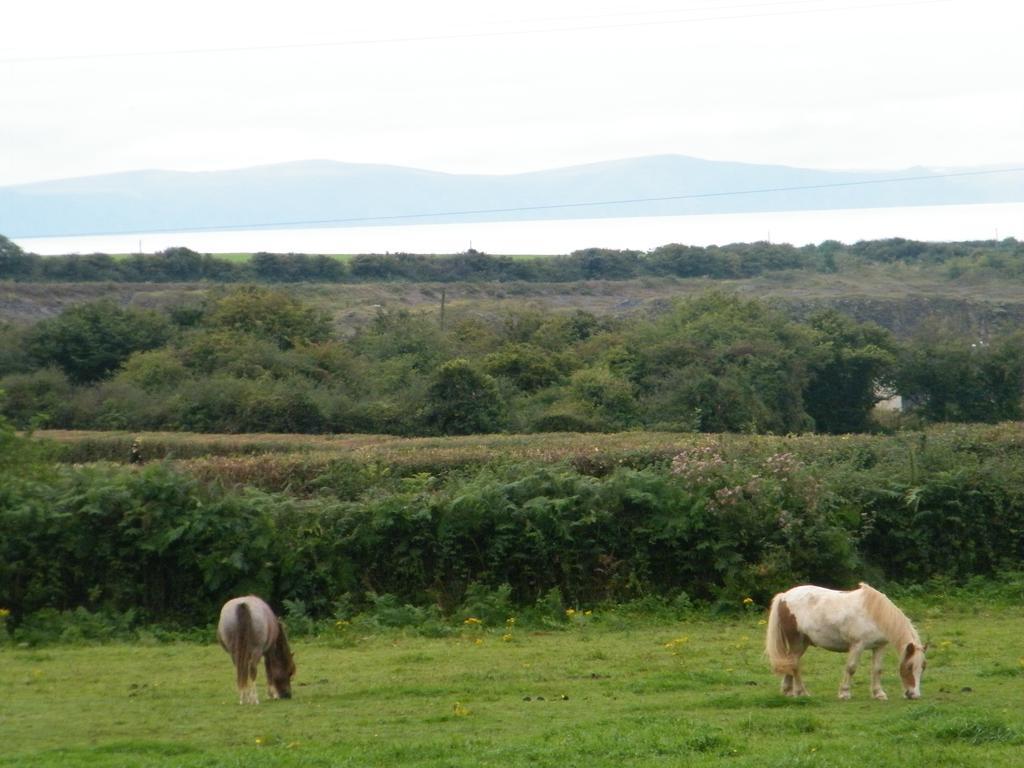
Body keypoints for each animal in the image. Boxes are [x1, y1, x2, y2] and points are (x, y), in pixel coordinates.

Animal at [765, 581, 925, 704]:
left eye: (923, 668)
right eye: (909, 667)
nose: (914, 695)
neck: (876, 615)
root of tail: (784, 597)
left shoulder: (879, 647)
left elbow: (877, 669)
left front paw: (879, 694)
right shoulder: (857, 646)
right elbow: (851, 668)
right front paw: (844, 693)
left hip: (802, 644)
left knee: (790, 663)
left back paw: (788, 691)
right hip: (797, 642)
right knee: (794, 664)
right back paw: (801, 692)